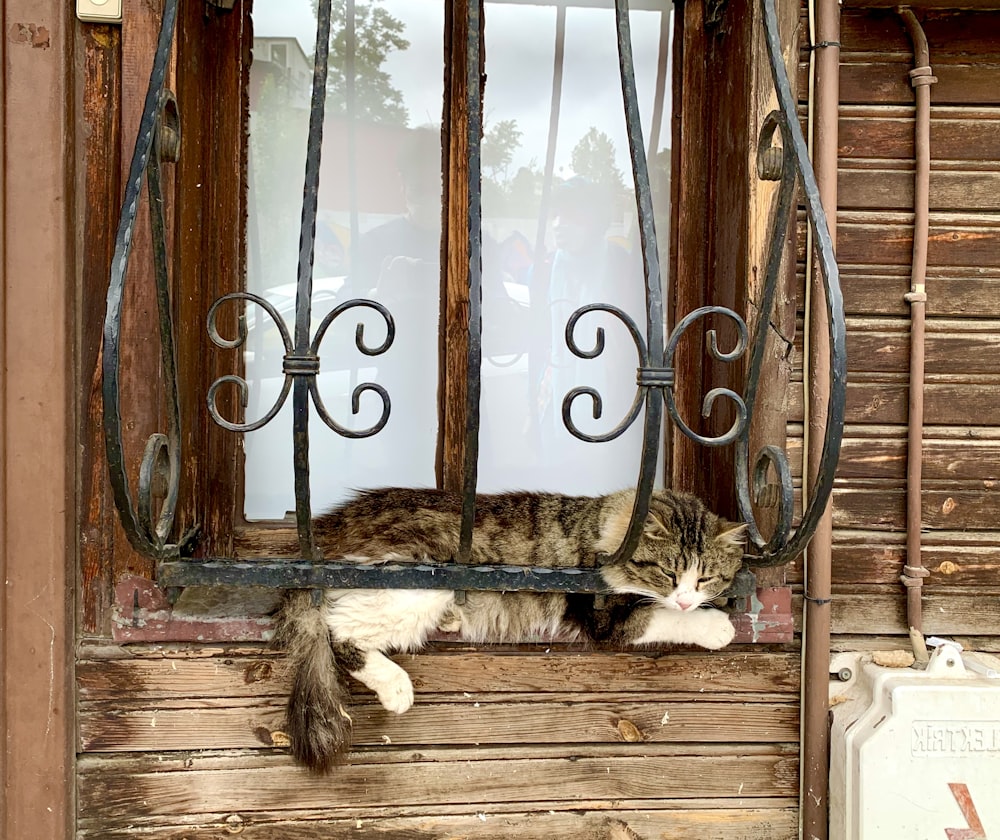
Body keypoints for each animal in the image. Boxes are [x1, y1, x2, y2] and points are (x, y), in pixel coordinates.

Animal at [272, 486, 744, 776]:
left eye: (705, 577)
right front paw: (715, 625)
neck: (600, 525)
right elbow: (663, 617)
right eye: (669, 573)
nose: (686, 597)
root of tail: (327, 532)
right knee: (338, 629)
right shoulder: (605, 616)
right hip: (421, 581)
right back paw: (397, 687)